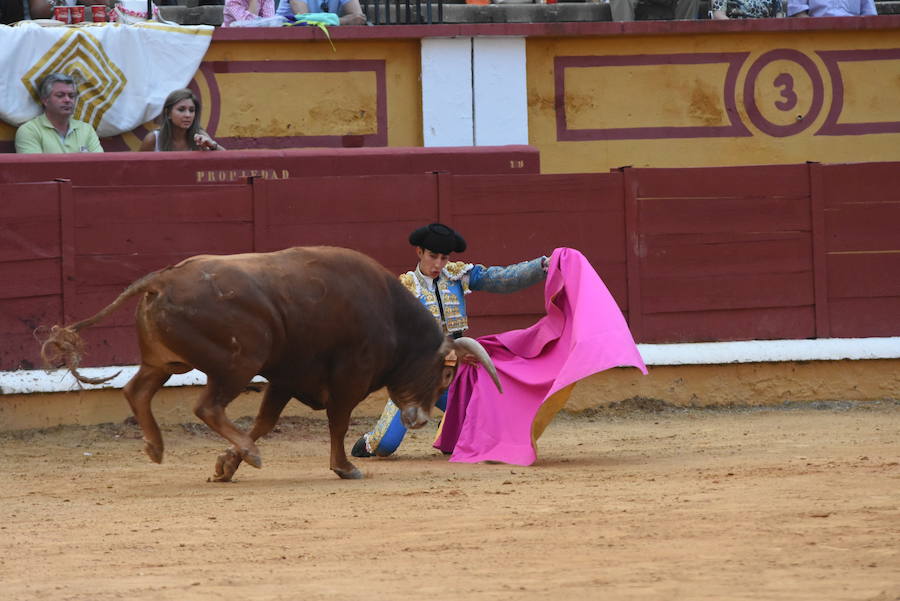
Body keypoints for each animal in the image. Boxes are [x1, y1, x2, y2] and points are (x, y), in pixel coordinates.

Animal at [42, 246, 500, 480]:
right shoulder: (348, 379)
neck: (391, 317)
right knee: (206, 406)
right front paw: (345, 467)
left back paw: (156, 447)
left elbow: (265, 421)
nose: (419, 420)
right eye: (446, 372)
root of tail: (161, 278)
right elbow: (337, 423)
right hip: (240, 361)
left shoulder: (286, 378)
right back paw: (245, 453)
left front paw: (225, 466)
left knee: (137, 390)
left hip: (166, 361)